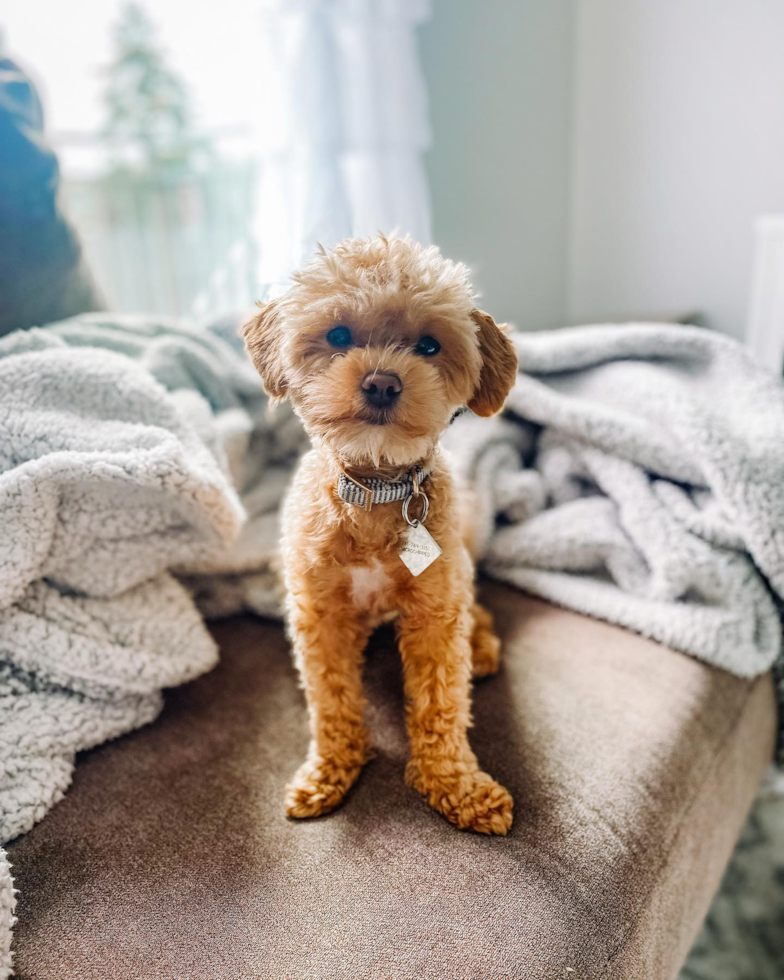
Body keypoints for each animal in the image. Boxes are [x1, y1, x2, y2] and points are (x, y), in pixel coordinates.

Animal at [242, 235, 516, 836]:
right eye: (339, 336)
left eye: (429, 345)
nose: (383, 382)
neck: (375, 490)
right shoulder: (321, 615)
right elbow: (332, 700)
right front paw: (330, 769)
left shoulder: (436, 612)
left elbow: (442, 705)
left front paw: (456, 786)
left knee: (476, 610)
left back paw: (483, 647)